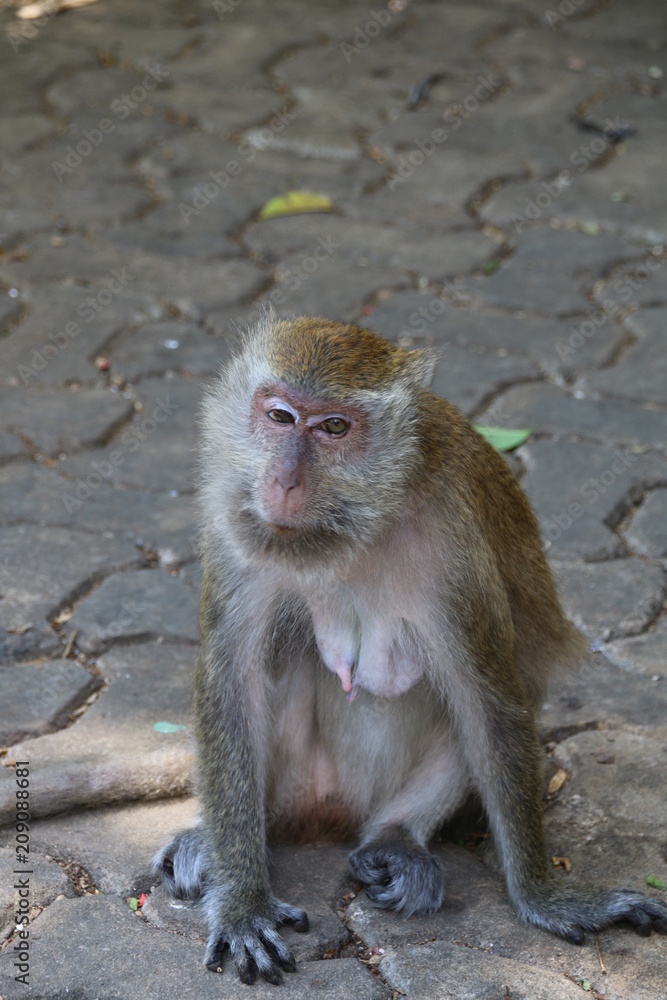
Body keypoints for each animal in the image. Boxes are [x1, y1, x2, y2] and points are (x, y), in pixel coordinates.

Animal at [157, 314, 667, 984]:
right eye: (280, 417)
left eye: (335, 428)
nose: (285, 479)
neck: (350, 528)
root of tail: (327, 810)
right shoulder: (234, 526)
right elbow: (231, 683)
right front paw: (242, 899)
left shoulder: (452, 543)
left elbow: (489, 703)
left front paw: (543, 896)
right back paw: (226, 838)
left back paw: (395, 840)